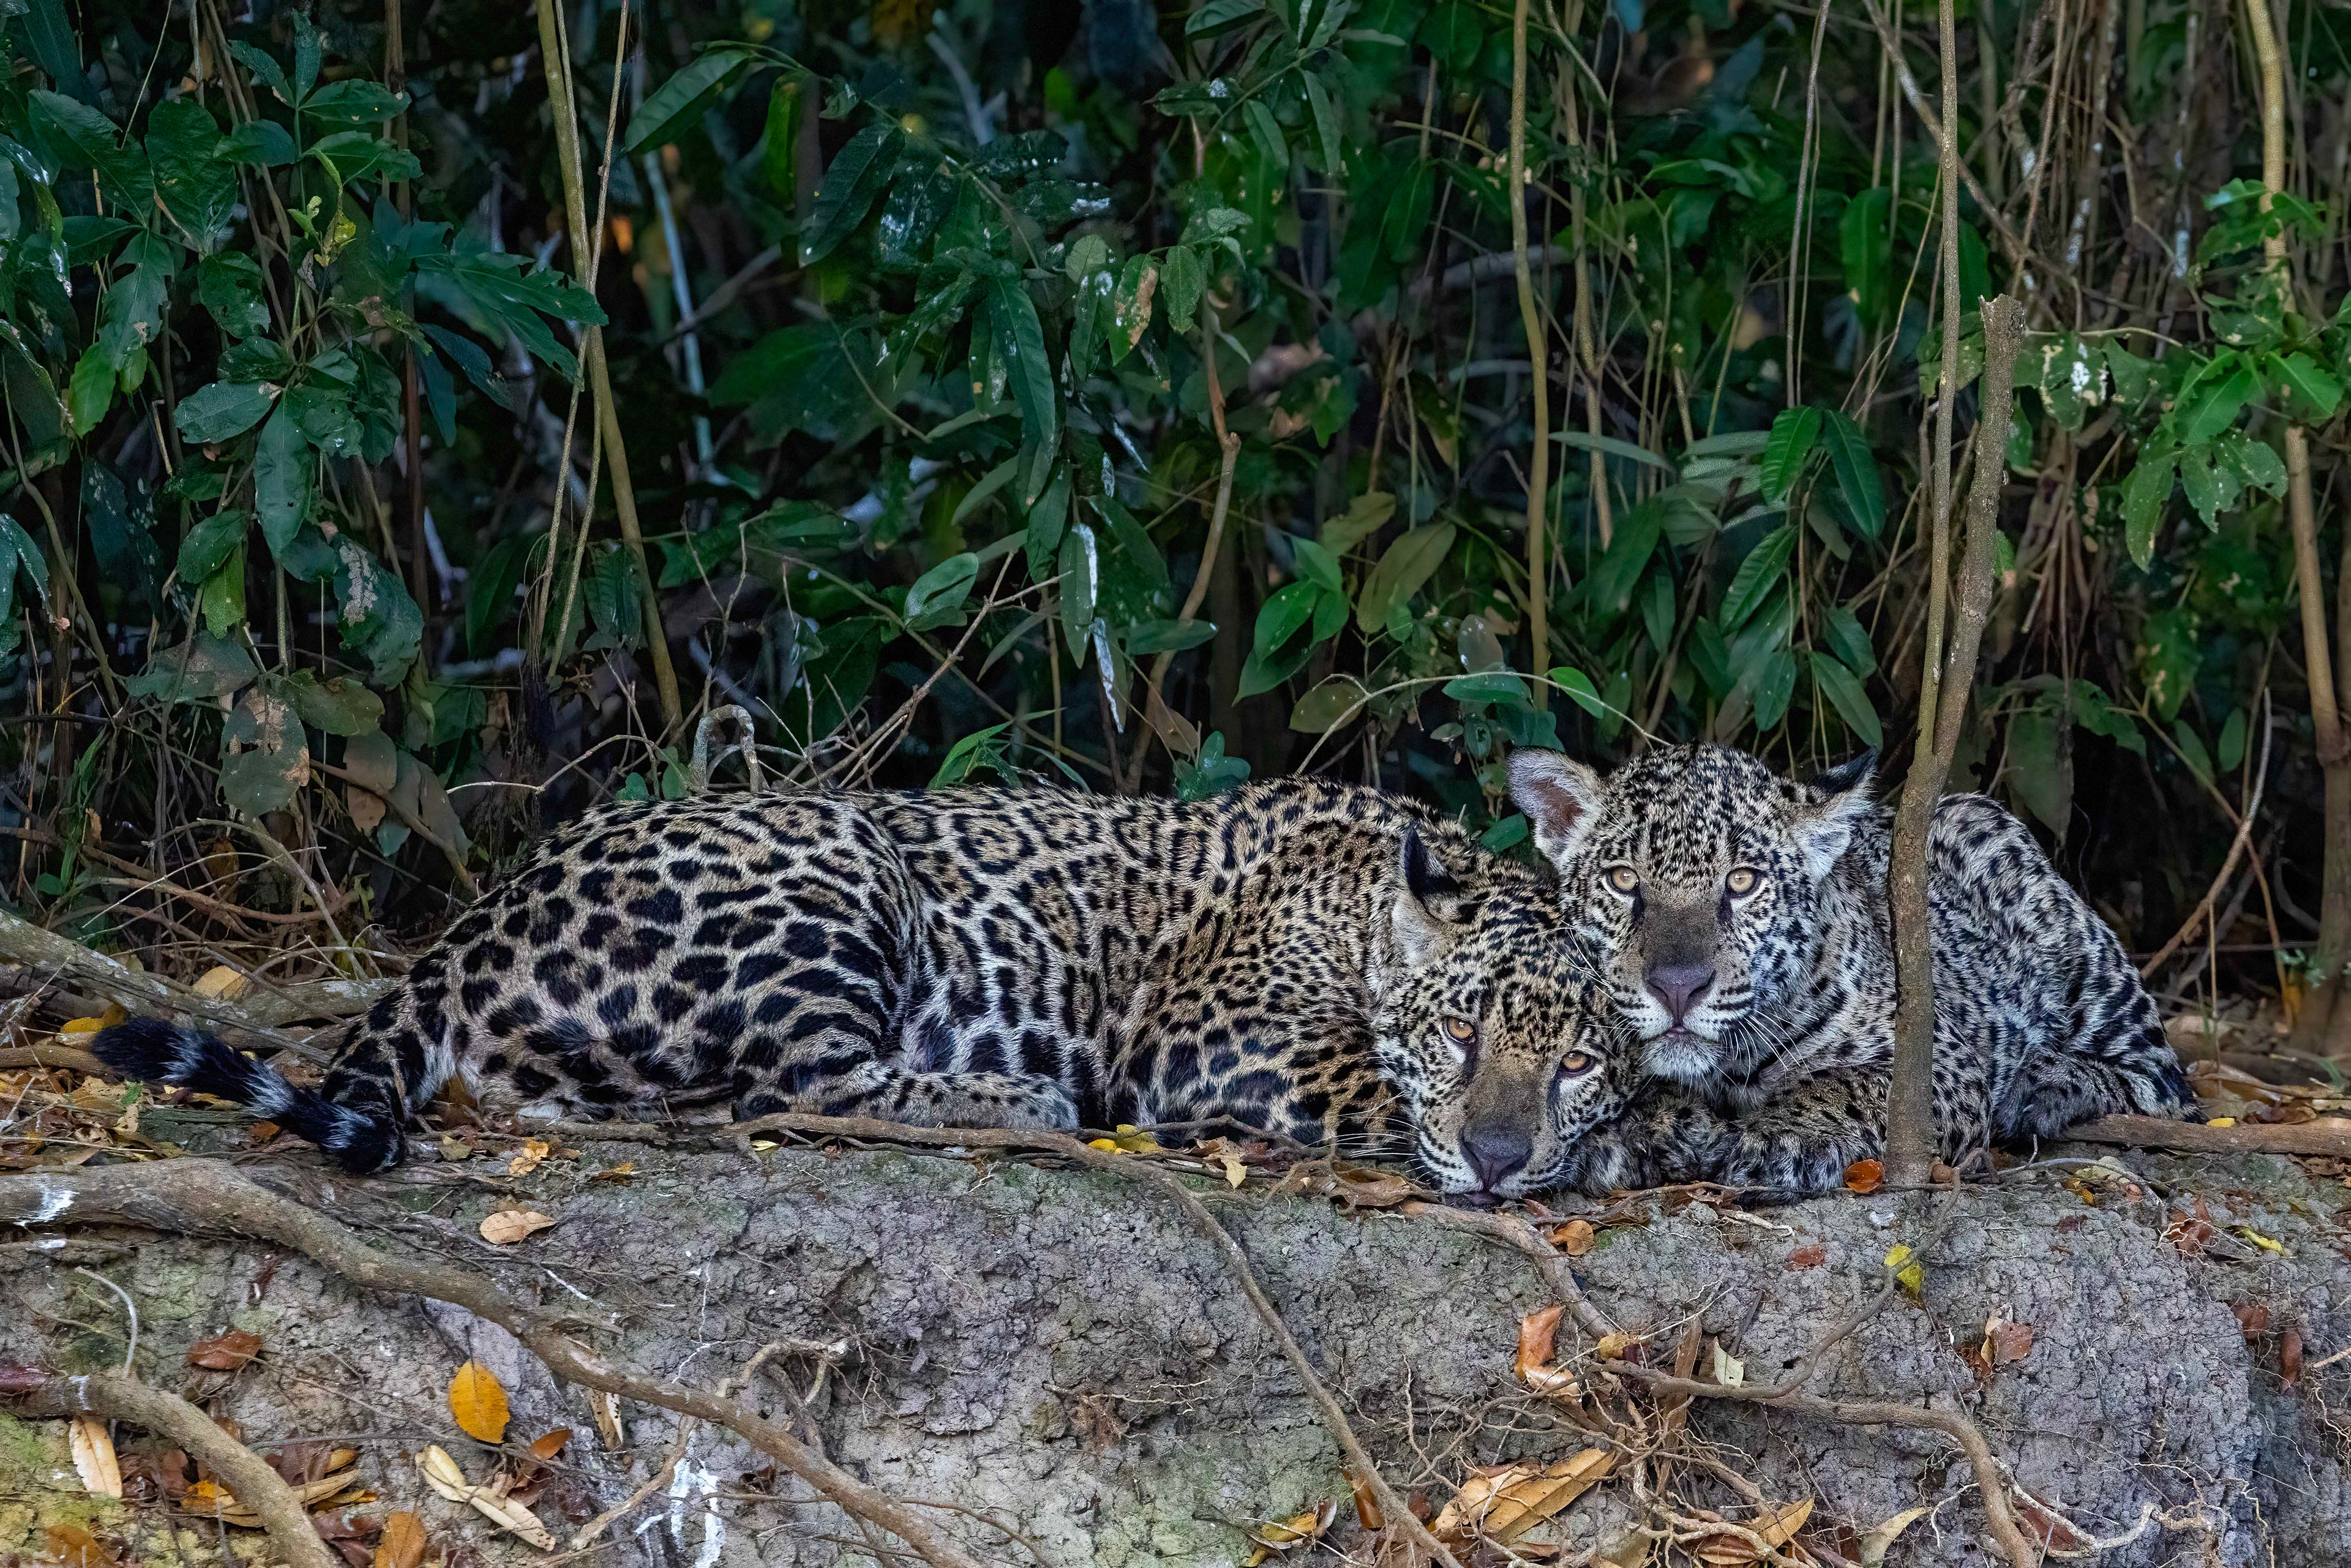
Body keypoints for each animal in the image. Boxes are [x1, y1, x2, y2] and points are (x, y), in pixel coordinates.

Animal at [93, 778, 1603, 1203]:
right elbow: (1371, 1086)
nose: (1499, 1157)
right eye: (1461, 1029)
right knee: (794, 1089)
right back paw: (1022, 1095)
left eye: (1572, 1055)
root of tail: (474, 921)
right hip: (836, 866)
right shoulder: (1218, 1043)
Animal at [1499, 742, 2197, 1194]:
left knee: (2166, 1084)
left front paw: (1783, 1137)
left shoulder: (1937, 1059)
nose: (1677, 987)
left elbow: (1849, 1084)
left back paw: (2045, 1084)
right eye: (1623, 880)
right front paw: (1629, 1133)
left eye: (1743, 882)